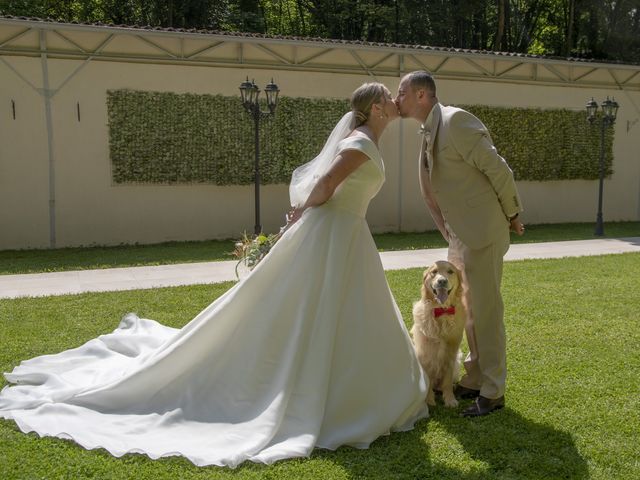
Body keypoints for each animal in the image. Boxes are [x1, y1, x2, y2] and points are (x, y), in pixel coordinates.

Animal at [412, 260, 468, 406]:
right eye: (434, 272)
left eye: (450, 271)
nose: (442, 281)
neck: (441, 311)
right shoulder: (426, 353)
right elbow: (428, 380)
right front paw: (428, 400)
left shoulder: (451, 353)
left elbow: (447, 381)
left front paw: (450, 399)